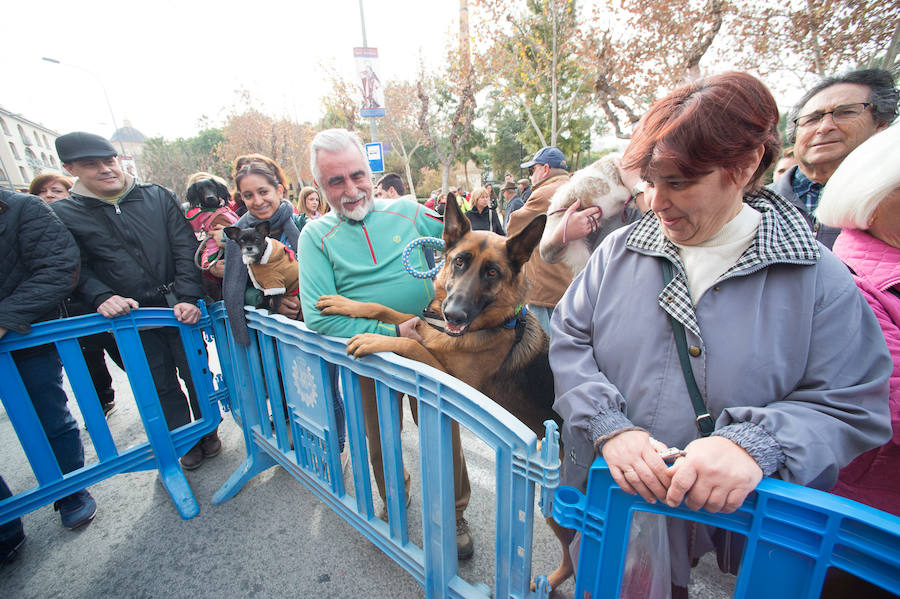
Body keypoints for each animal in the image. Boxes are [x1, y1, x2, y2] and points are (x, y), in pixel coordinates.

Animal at [314, 193, 568, 592]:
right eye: (459, 261)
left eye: (492, 273)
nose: (454, 314)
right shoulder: (424, 324)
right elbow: (387, 311)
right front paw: (347, 304)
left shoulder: (450, 378)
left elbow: (409, 343)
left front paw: (372, 338)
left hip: (558, 508)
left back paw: (545, 582)